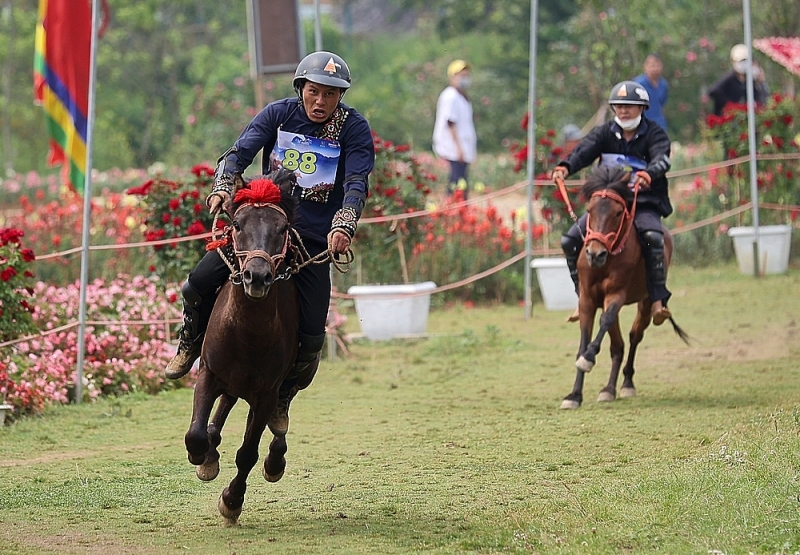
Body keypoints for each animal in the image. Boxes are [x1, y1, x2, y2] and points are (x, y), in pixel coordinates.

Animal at [183, 169, 302, 524]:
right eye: (236, 224)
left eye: (282, 228)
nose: (257, 276)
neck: (248, 335)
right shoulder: (208, 374)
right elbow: (195, 434)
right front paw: (203, 456)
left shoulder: (266, 395)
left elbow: (248, 453)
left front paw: (232, 501)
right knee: (224, 405)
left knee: (278, 423)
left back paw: (275, 458)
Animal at [560, 165, 692, 408]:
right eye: (590, 210)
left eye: (618, 212)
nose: (595, 254)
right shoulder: (588, 299)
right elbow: (585, 339)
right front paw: (574, 395)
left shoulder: (616, 294)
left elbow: (605, 324)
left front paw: (588, 359)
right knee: (618, 346)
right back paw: (609, 389)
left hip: (646, 301)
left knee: (634, 337)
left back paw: (626, 383)